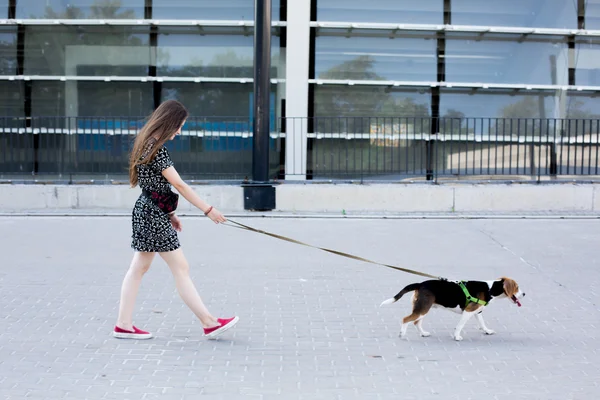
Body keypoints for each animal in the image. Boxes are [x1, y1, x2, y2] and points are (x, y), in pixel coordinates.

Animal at [382, 278, 524, 340]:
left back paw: (423, 333)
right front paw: (456, 336)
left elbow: (482, 323)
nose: (524, 294)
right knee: (406, 319)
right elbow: (460, 326)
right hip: (423, 309)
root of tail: (420, 284)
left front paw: (487, 331)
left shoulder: (477, 311)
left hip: (423, 309)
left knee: (416, 322)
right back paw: (402, 334)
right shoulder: (468, 312)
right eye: (516, 287)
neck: (490, 288)